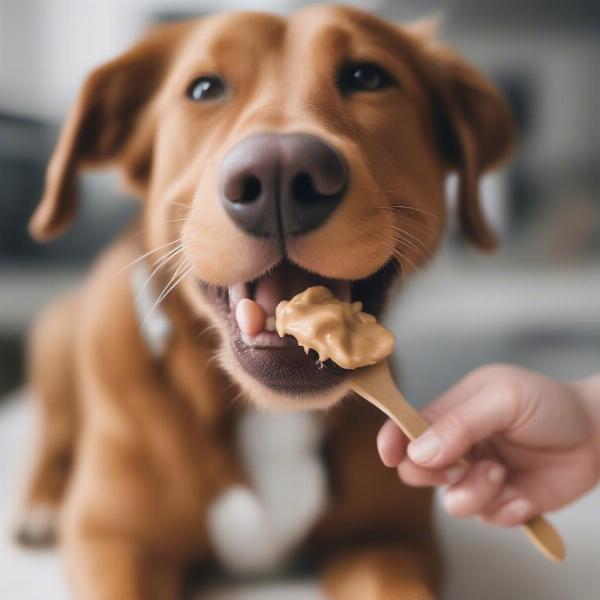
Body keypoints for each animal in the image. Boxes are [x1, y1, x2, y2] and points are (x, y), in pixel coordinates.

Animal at [19, 5, 516, 600]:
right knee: (52, 433)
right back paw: (39, 504)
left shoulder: (388, 541)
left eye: (368, 76)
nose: (280, 172)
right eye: (204, 88)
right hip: (54, 338)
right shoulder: (115, 543)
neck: (268, 414)